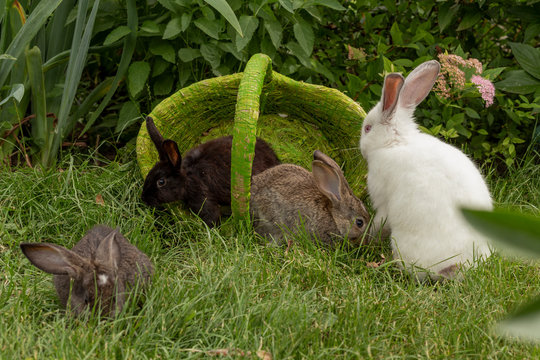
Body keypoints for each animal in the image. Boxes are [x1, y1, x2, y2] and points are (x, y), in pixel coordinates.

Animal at [358, 59, 494, 282]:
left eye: (368, 129)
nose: (361, 149)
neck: (395, 143)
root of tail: (459, 265)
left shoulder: (383, 203)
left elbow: (379, 223)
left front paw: (368, 238)